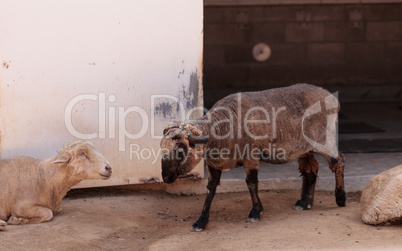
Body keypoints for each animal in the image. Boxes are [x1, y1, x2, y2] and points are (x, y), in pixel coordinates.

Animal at [160, 84, 346, 231]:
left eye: (180, 150)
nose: (165, 177)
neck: (223, 129)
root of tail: (332, 99)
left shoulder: (250, 158)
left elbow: (251, 183)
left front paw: (255, 212)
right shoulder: (214, 165)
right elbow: (210, 189)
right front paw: (201, 221)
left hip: (326, 141)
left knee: (338, 162)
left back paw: (340, 198)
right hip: (303, 149)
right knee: (310, 170)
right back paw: (305, 203)